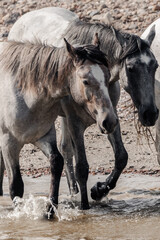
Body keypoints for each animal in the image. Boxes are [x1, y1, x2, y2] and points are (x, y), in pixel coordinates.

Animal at [0, 38, 117, 214]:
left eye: (108, 76)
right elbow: (16, 185)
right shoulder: (9, 144)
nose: (109, 121)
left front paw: (50, 209)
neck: (24, 94)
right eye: (85, 81)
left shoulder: (44, 136)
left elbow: (56, 162)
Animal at [7, 7, 159, 203]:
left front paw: (99, 190)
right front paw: (88, 200)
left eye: (155, 66)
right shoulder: (75, 121)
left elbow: (121, 157)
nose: (150, 114)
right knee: (66, 149)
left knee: (65, 148)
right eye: (131, 68)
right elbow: (82, 167)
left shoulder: (110, 117)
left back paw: (73, 190)